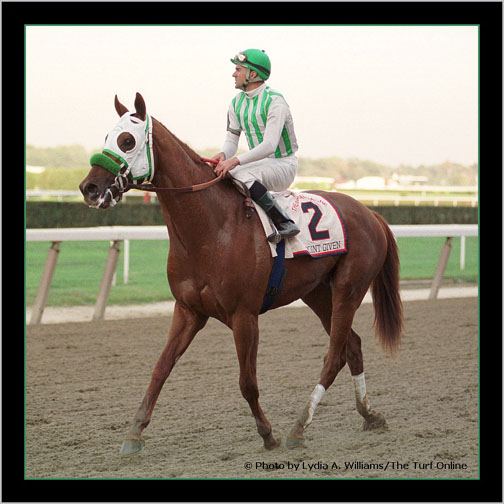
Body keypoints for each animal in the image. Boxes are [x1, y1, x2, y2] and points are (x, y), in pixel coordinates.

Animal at [79, 93, 403, 456]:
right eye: (107, 137)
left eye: (127, 140)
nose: (89, 188)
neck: (211, 229)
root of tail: (371, 213)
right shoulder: (188, 311)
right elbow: (160, 368)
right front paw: (134, 433)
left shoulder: (244, 315)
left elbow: (247, 382)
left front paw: (267, 433)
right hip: (318, 293)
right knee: (353, 346)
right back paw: (370, 414)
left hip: (350, 288)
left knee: (334, 356)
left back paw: (298, 426)